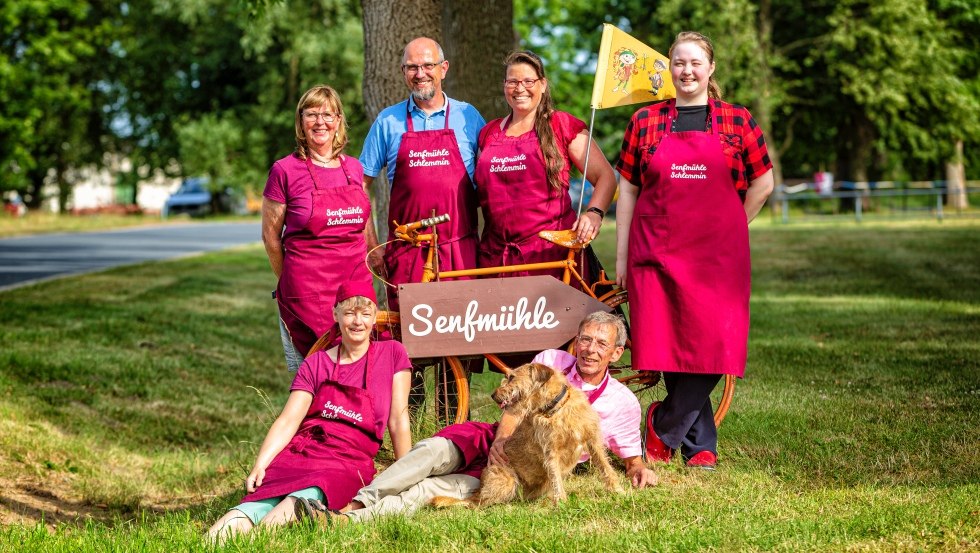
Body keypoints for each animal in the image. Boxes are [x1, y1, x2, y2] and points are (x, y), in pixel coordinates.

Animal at [430, 362, 616, 504]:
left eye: (512, 377)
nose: (493, 395)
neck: (556, 409)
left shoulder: (592, 440)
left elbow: (606, 467)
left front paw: (618, 491)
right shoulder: (551, 452)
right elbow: (556, 479)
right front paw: (561, 503)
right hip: (507, 482)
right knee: (475, 505)